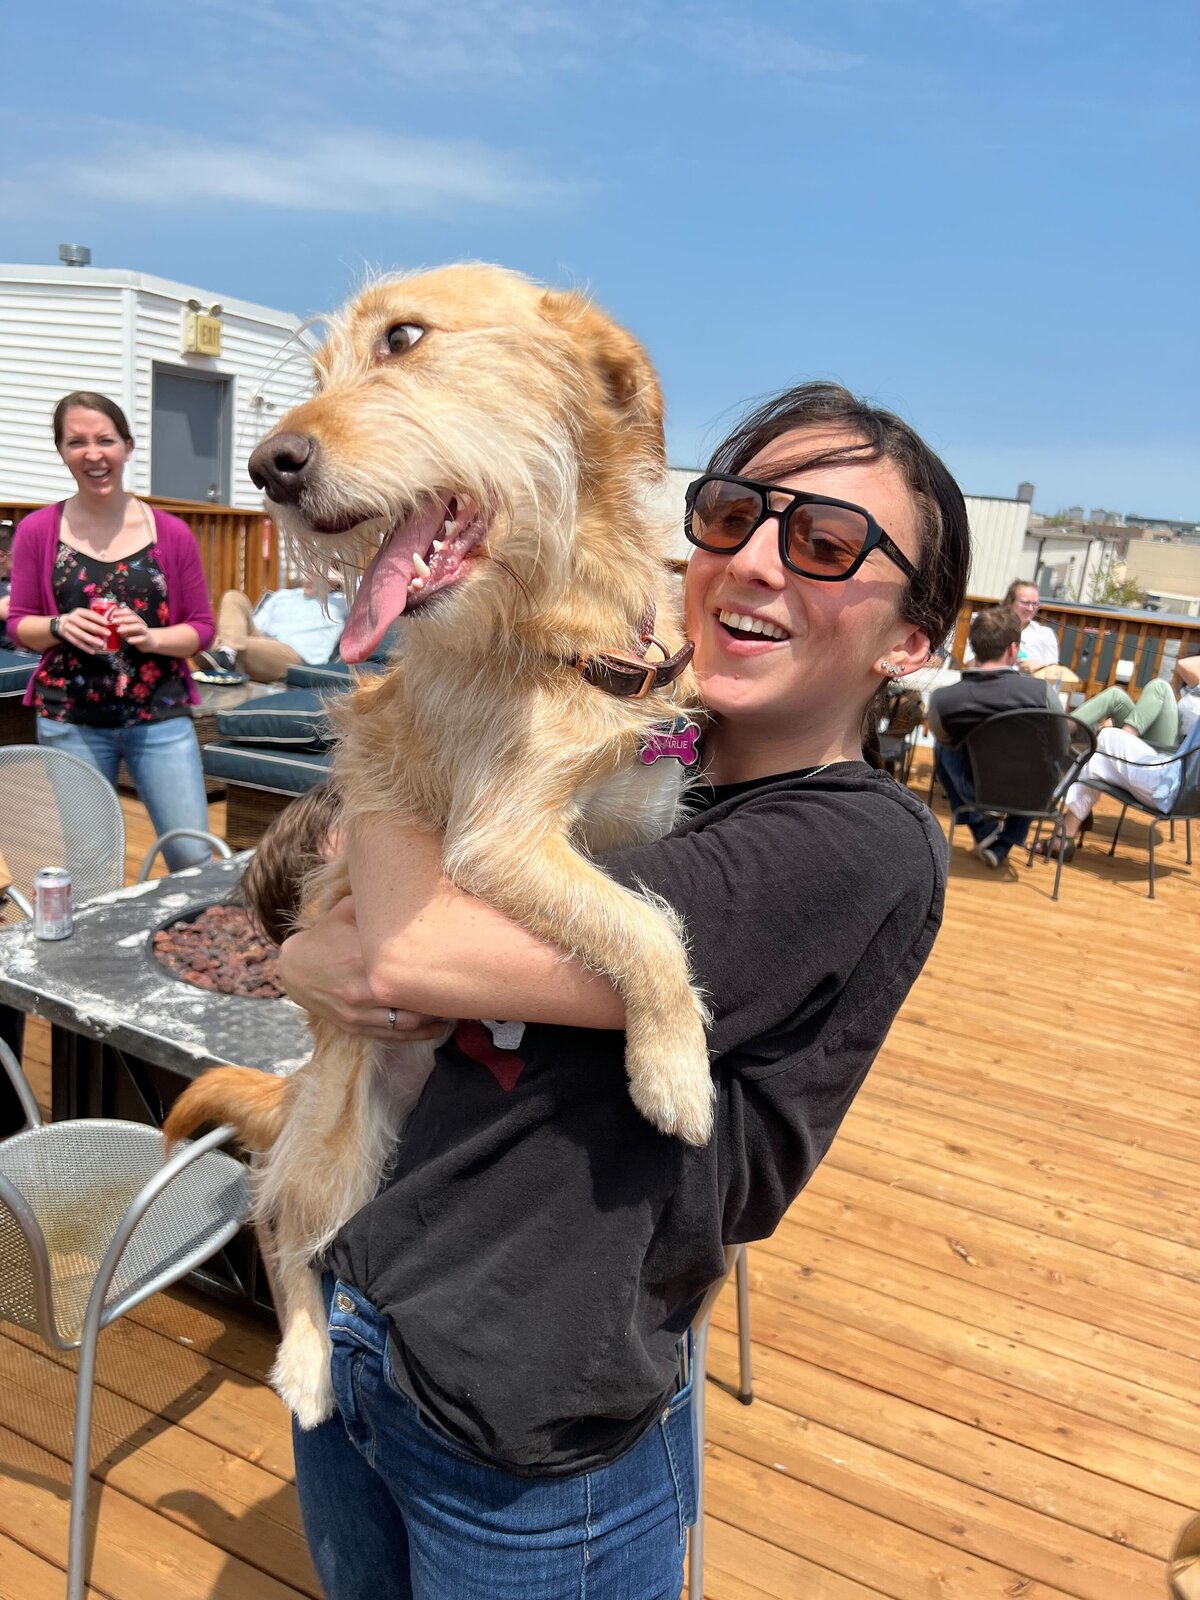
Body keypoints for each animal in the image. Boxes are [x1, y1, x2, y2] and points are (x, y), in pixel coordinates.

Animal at [165, 262, 720, 1427]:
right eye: (319, 372)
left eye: (405, 339)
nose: (270, 466)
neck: (561, 625)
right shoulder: (499, 842)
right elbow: (639, 922)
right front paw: (673, 1070)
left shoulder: (639, 814)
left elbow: (640, 896)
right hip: (341, 1144)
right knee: (278, 1222)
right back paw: (305, 1363)